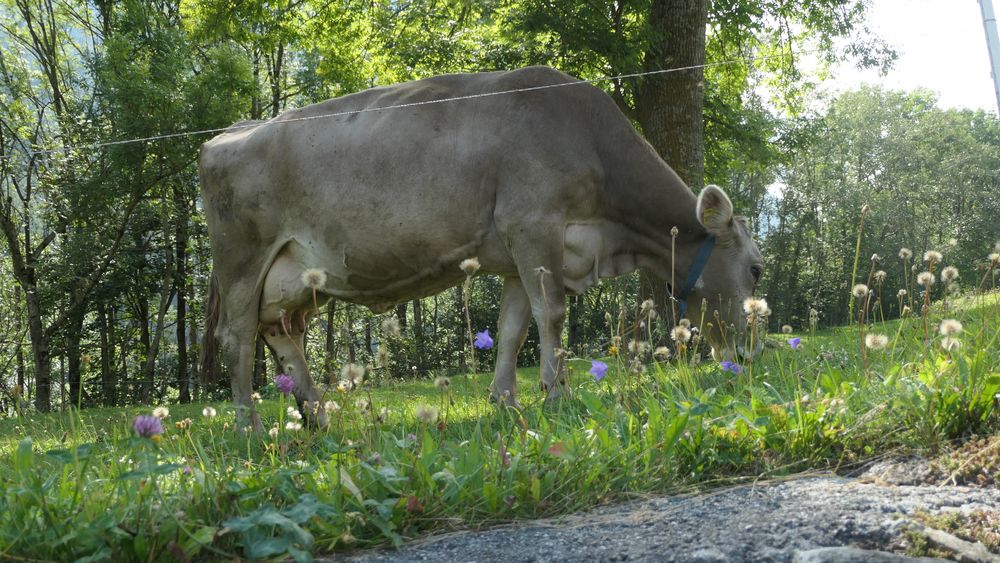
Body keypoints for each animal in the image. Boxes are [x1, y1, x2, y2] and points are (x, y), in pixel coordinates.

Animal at [203, 66, 764, 430]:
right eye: (756, 270)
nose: (754, 355)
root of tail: (228, 133)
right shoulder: (534, 225)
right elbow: (552, 315)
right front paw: (559, 396)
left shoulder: (518, 253)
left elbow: (514, 327)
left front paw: (507, 403)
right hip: (241, 260)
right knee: (237, 339)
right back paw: (251, 428)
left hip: (289, 279)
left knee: (281, 336)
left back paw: (319, 419)